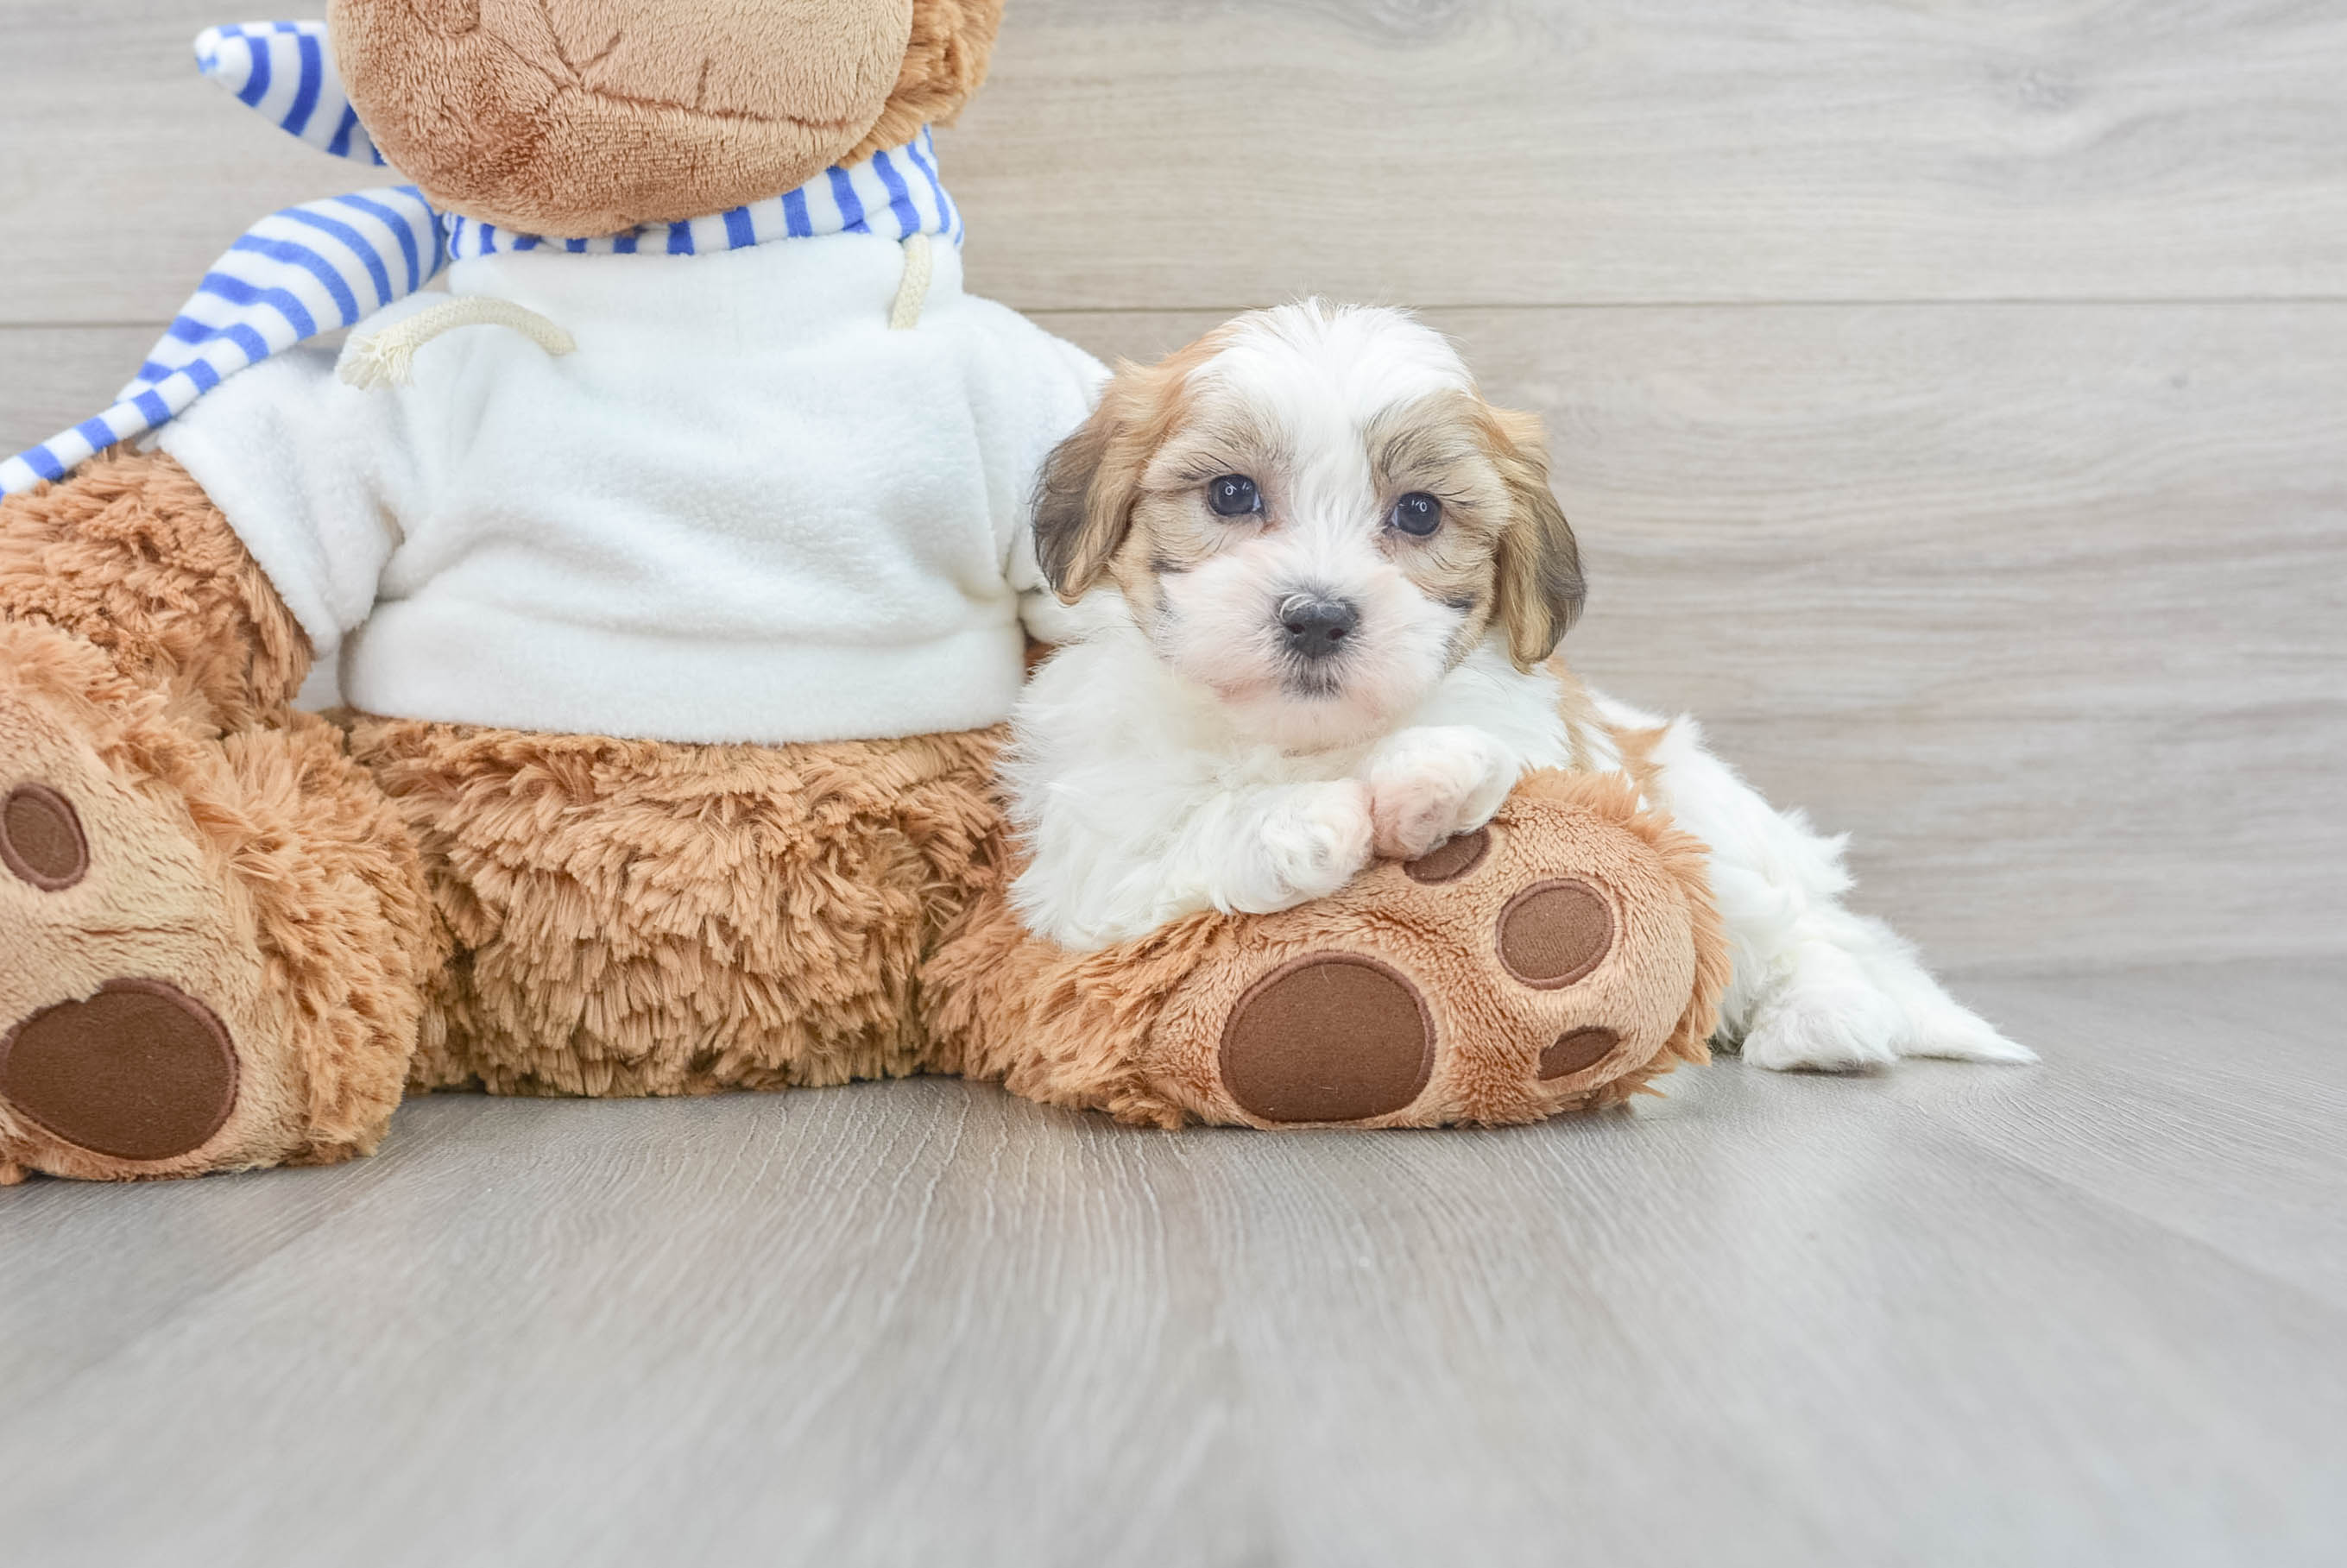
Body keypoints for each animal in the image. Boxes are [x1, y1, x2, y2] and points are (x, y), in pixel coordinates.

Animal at [1013, 300, 2037, 1070]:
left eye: (1418, 512)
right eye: (1230, 493)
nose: (1316, 615)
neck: (1302, 736)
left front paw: (1428, 775)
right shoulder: (1082, 857)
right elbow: (1171, 836)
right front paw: (1298, 821)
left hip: (1711, 827)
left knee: (1798, 929)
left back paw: (1822, 1021)